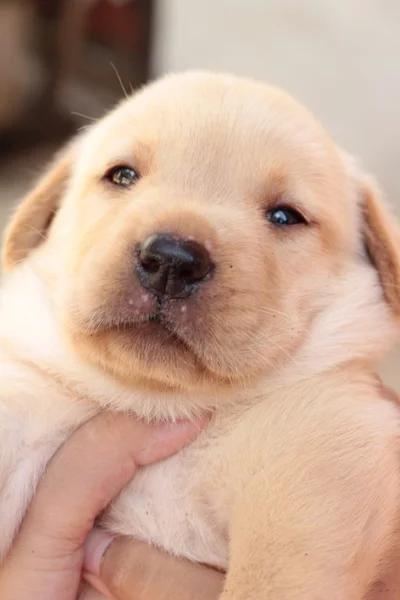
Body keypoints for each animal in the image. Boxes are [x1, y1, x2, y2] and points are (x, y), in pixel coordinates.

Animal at [0, 71, 400, 600]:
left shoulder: (319, 457)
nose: (171, 260)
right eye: (122, 176)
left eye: (285, 216)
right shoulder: (30, 407)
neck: (162, 400)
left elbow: (266, 580)